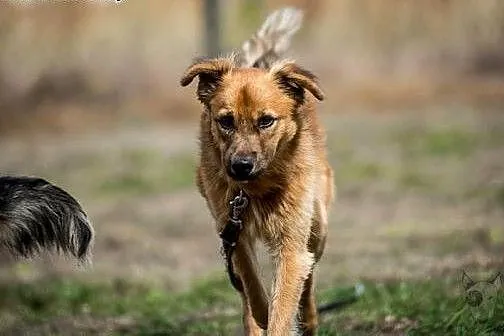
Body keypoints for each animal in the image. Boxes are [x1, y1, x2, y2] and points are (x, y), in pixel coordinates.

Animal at [179, 7, 332, 336]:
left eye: (266, 121)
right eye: (226, 121)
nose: (240, 167)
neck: (256, 188)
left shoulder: (292, 243)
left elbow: (287, 298)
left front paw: (283, 316)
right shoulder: (232, 230)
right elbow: (250, 280)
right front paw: (262, 312)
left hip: (319, 225)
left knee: (309, 276)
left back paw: (309, 318)